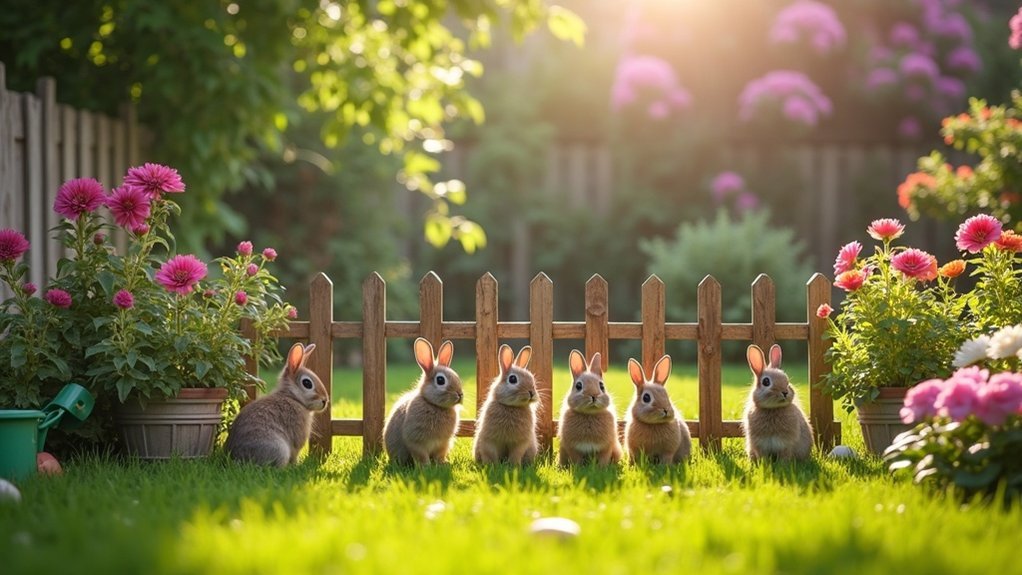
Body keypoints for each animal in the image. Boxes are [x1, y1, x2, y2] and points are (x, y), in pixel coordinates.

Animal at [383, 338, 463, 466]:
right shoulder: (416, 441)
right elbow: (421, 456)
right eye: (440, 380)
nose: (460, 394)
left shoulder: (443, 443)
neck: (434, 404)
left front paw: (442, 464)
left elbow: (439, 455)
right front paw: (425, 466)